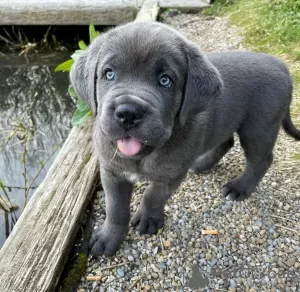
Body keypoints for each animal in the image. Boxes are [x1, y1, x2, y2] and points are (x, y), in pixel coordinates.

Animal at [69, 22, 300, 256]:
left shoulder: (171, 174)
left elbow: (153, 195)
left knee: (261, 160)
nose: (128, 113)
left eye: (165, 80)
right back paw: (202, 164)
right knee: (226, 142)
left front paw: (147, 220)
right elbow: (115, 208)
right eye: (109, 74)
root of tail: (282, 66)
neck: (144, 156)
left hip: (258, 128)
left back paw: (239, 188)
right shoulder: (112, 171)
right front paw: (108, 238)